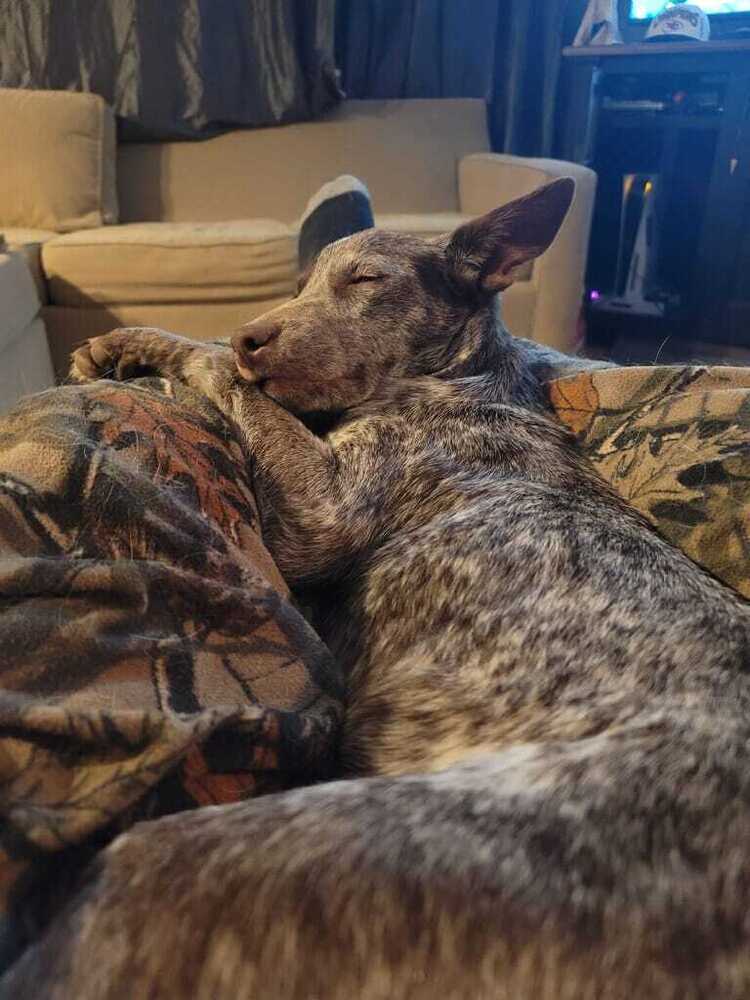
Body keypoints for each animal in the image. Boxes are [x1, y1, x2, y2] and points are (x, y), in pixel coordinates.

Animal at [7, 176, 750, 996]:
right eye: (302, 284)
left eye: (364, 280)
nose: (250, 333)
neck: (458, 381)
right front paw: (123, 345)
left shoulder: (323, 511)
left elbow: (220, 370)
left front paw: (165, 344)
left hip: (202, 853)